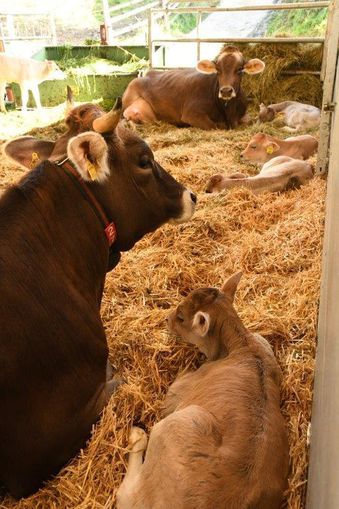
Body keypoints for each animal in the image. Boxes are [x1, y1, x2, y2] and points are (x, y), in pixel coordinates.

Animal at [117, 274, 290, 508]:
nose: (167, 319)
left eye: (181, 317)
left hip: (177, 425)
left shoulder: (179, 392)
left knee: (126, 495)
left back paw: (137, 434)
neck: (242, 343)